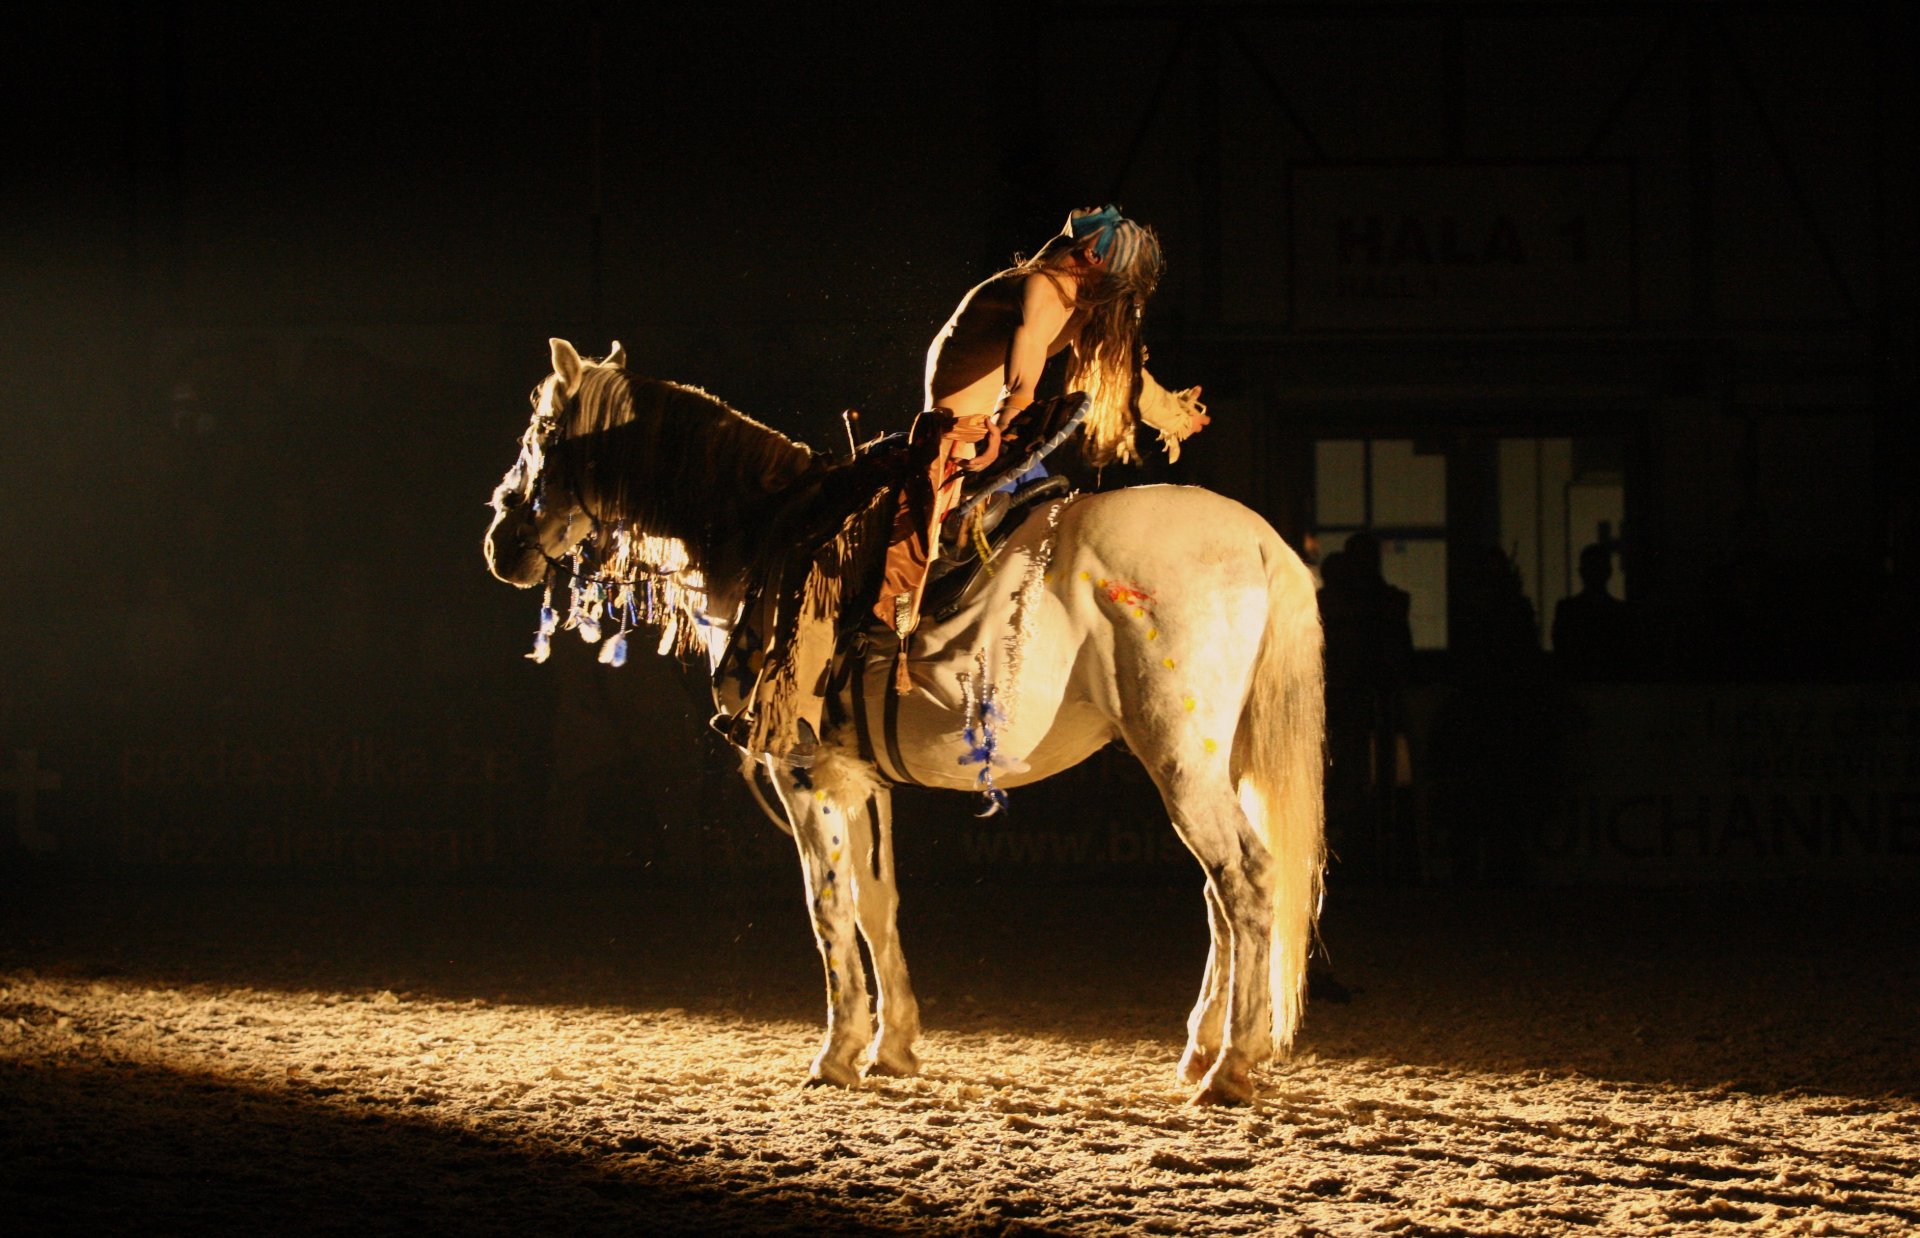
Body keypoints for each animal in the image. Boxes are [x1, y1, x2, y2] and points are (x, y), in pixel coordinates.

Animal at [483, 337, 1320, 1097]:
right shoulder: (860, 776)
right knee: (1221, 899)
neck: (760, 536)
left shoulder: (803, 772)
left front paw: (837, 1052)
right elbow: (876, 903)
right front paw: (892, 1046)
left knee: (1245, 882)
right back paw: (1201, 1050)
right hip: (1211, 766)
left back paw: (1231, 1066)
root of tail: (1261, 542)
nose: (501, 541)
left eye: (542, 433)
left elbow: (829, 905)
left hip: (1180, 760)